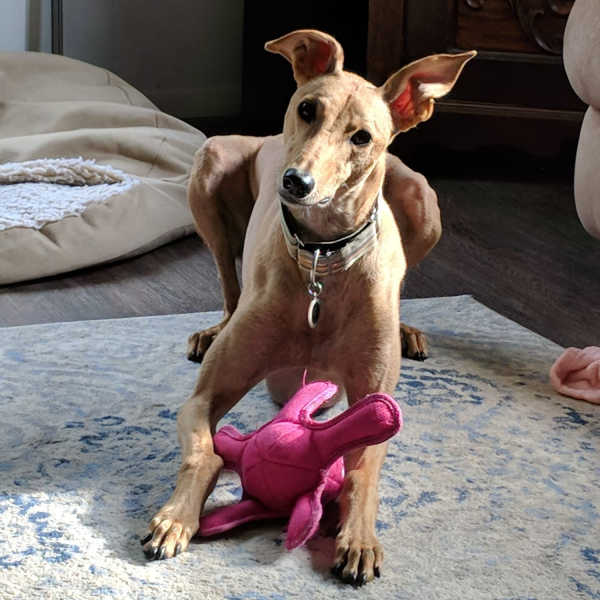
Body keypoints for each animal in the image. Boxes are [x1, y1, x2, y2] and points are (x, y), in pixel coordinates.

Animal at [141, 29, 474, 584]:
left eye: (361, 137)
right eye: (307, 108)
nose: (295, 182)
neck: (322, 258)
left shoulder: (373, 403)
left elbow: (362, 471)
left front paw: (358, 540)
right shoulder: (202, 398)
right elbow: (205, 454)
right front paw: (175, 519)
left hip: (422, 200)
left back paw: (408, 329)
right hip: (208, 167)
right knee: (229, 283)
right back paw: (213, 328)